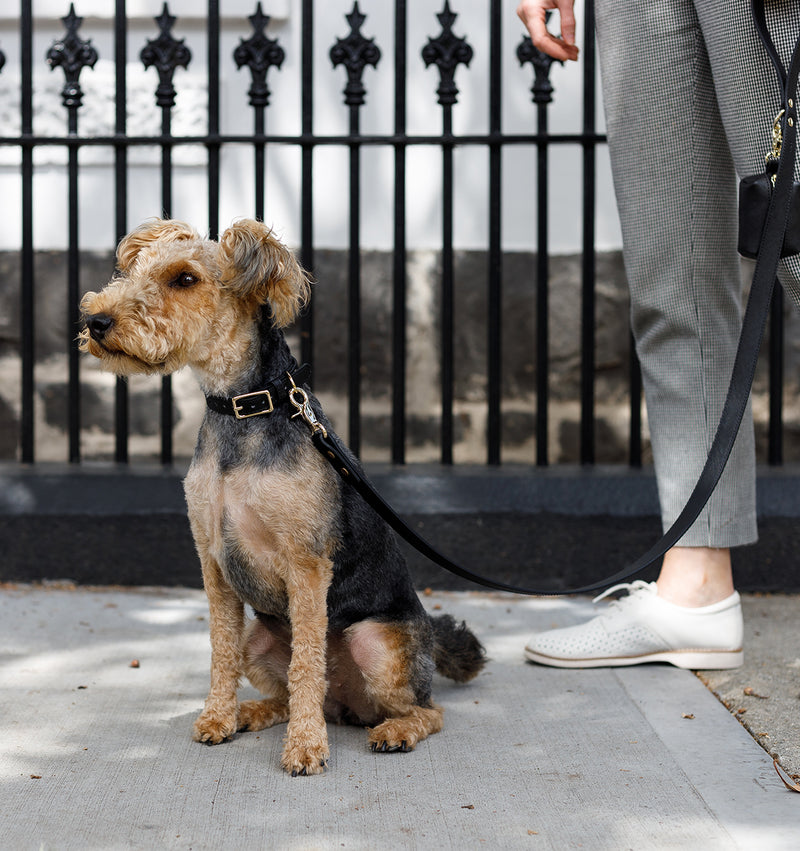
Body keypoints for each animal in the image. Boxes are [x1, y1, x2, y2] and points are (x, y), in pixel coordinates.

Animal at [79, 221, 488, 780]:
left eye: (185, 278)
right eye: (135, 270)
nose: (96, 321)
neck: (241, 409)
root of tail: (347, 706)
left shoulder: (306, 563)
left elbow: (306, 665)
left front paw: (305, 748)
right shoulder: (212, 562)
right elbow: (222, 653)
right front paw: (217, 717)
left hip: (378, 644)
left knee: (427, 709)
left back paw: (391, 731)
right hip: (261, 639)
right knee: (289, 692)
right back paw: (252, 712)